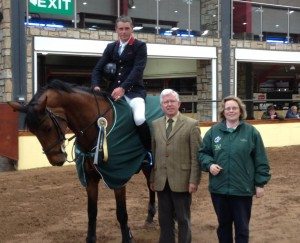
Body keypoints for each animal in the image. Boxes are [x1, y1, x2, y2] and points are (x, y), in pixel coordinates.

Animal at [7, 79, 162, 241]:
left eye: (47, 127)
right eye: (33, 131)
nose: (56, 160)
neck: (99, 127)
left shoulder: (117, 178)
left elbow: (121, 213)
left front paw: (127, 238)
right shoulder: (90, 178)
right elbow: (92, 211)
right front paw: (90, 238)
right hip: (147, 166)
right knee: (151, 185)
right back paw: (150, 218)